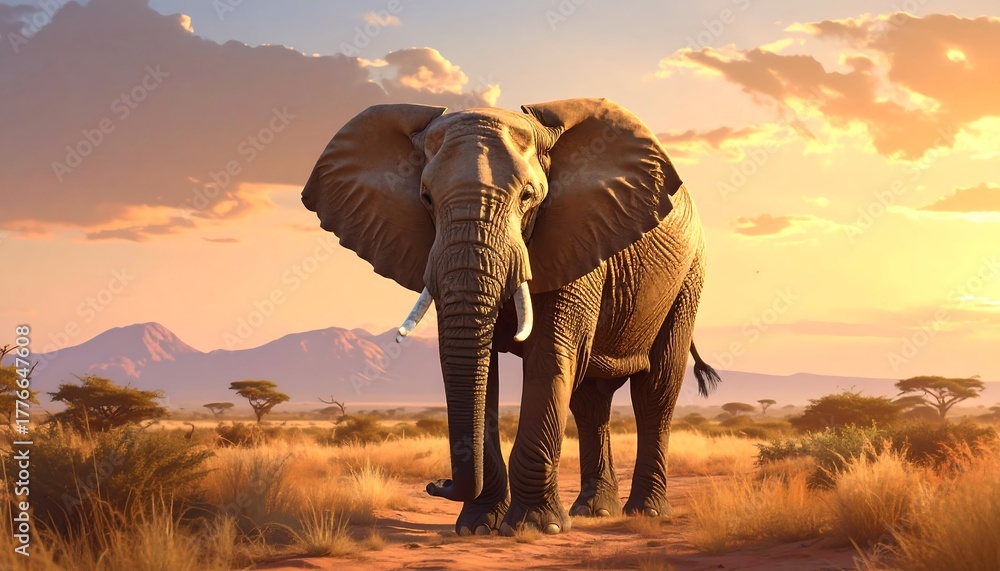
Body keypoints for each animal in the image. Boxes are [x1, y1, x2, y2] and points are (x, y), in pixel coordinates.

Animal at [301, 98, 720, 536]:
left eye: (527, 197)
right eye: (426, 198)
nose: (436, 484)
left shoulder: (575, 238)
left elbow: (549, 358)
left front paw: (536, 528)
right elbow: (479, 368)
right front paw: (478, 528)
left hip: (688, 276)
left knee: (656, 388)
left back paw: (647, 512)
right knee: (590, 401)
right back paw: (594, 512)